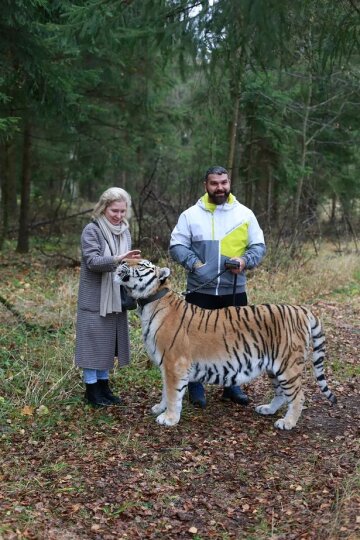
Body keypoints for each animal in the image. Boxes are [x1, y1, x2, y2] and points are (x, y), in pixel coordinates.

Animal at [115, 258, 338, 430]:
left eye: (141, 264)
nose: (121, 261)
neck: (148, 303)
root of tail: (302, 309)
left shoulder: (174, 363)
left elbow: (172, 393)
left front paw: (169, 418)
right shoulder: (165, 365)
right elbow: (165, 390)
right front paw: (160, 408)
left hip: (288, 366)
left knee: (298, 396)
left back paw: (287, 423)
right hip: (274, 367)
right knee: (282, 394)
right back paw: (268, 409)